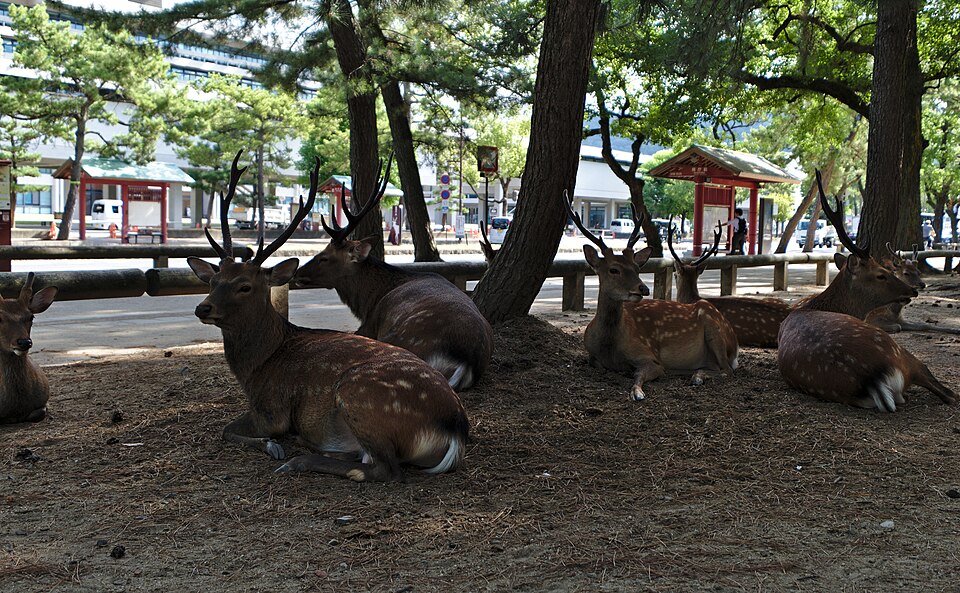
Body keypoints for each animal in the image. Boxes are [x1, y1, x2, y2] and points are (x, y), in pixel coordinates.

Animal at [187, 152, 469, 481]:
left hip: (359, 394)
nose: (202, 308)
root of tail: (456, 430)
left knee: (383, 468)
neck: (257, 366)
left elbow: (228, 430)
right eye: (213, 280)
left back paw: (297, 460)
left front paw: (273, 446)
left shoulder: (271, 410)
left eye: (245, 286)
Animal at [292, 159, 493, 391]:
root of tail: (467, 361)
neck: (369, 301)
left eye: (324, 257)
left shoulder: (369, 325)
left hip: (400, 337)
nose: (297, 273)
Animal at [564, 192, 739, 401]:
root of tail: (735, 346)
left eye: (637, 267)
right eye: (613, 269)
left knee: (728, 370)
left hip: (714, 326)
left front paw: (637, 392)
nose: (644, 289)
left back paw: (697, 376)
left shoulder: (649, 355)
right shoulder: (592, 357)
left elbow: (639, 375)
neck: (609, 346)